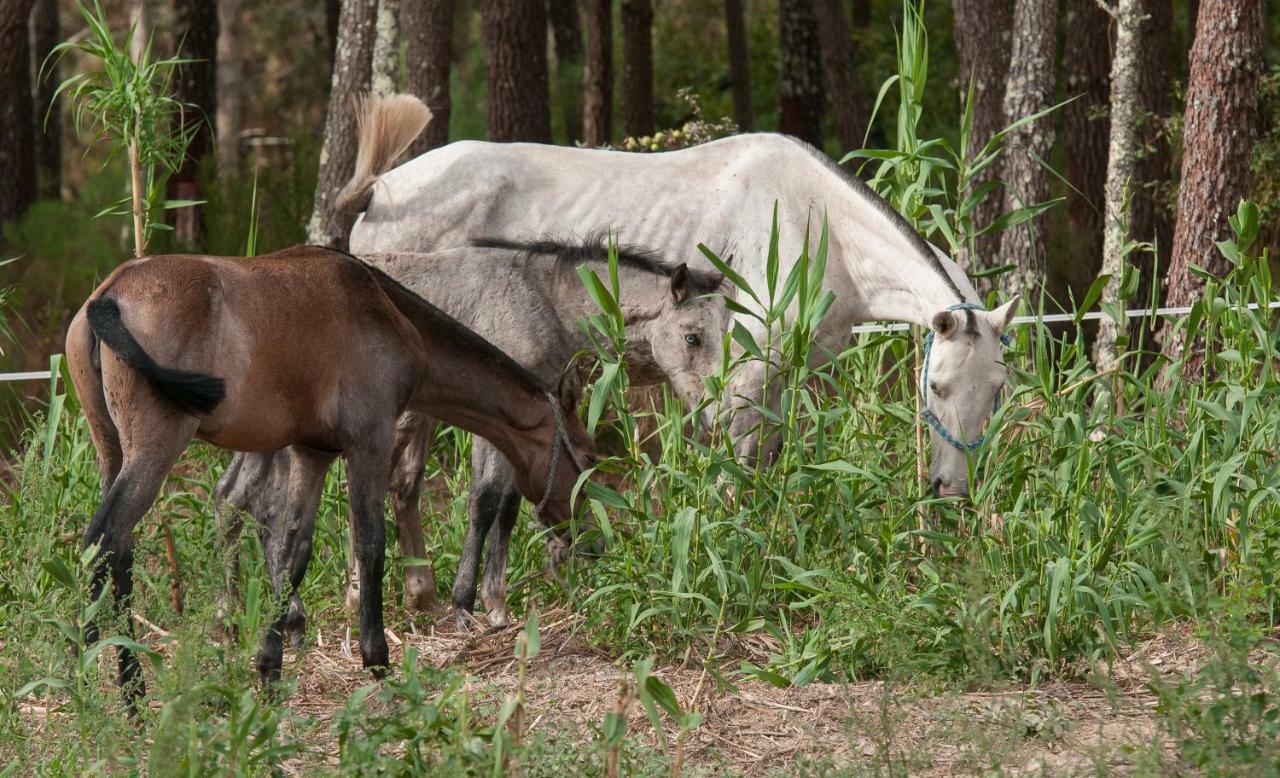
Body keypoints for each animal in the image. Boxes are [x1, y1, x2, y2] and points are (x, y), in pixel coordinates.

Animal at [64, 244, 593, 706]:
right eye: (587, 457)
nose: (590, 539)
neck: (386, 310)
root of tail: (111, 294)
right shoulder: (370, 442)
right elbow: (370, 544)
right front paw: (377, 659)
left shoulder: (311, 454)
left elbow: (293, 552)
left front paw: (270, 664)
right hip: (155, 449)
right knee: (107, 538)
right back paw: (117, 684)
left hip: (112, 449)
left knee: (117, 548)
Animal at [340, 98, 1018, 499]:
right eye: (936, 388)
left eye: (996, 393)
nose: (951, 489)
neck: (820, 227)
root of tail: (383, 189)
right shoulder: (745, 372)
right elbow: (738, 460)